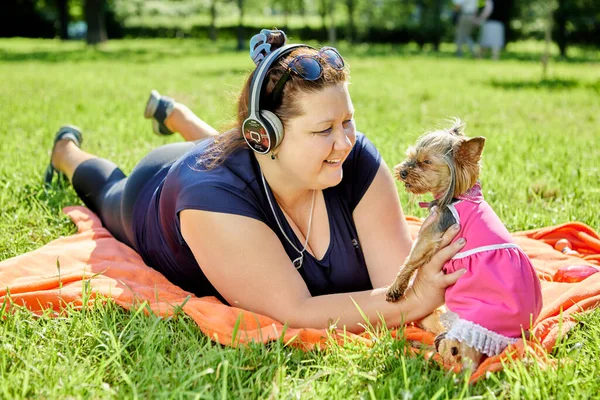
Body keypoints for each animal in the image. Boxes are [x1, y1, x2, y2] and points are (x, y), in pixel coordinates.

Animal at [384, 120, 544, 370]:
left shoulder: (431, 234)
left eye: (426, 162)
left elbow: (410, 260)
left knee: (450, 355)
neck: (457, 196)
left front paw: (395, 289)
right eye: (410, 156)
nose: (402, 171)